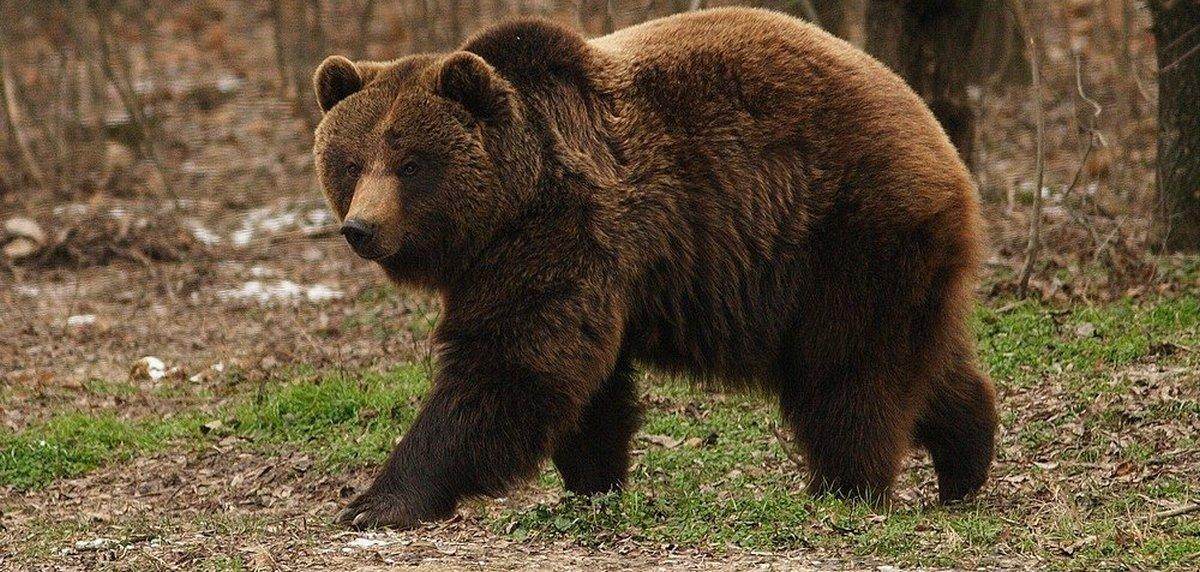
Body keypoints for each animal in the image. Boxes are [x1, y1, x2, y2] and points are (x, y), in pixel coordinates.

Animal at [309, 6, 993, 527]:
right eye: (350, 161)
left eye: (411, 163)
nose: (361, 228)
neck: (510, 201)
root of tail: (939, 139)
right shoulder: (574, 262)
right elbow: (583, 383)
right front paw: (593, 479)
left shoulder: (564, 230)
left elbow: (512, 363)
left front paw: (376, 500)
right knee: (926, 363)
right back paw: (967, 458)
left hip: (848, 231)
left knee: (847, 369)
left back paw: (846, 488)